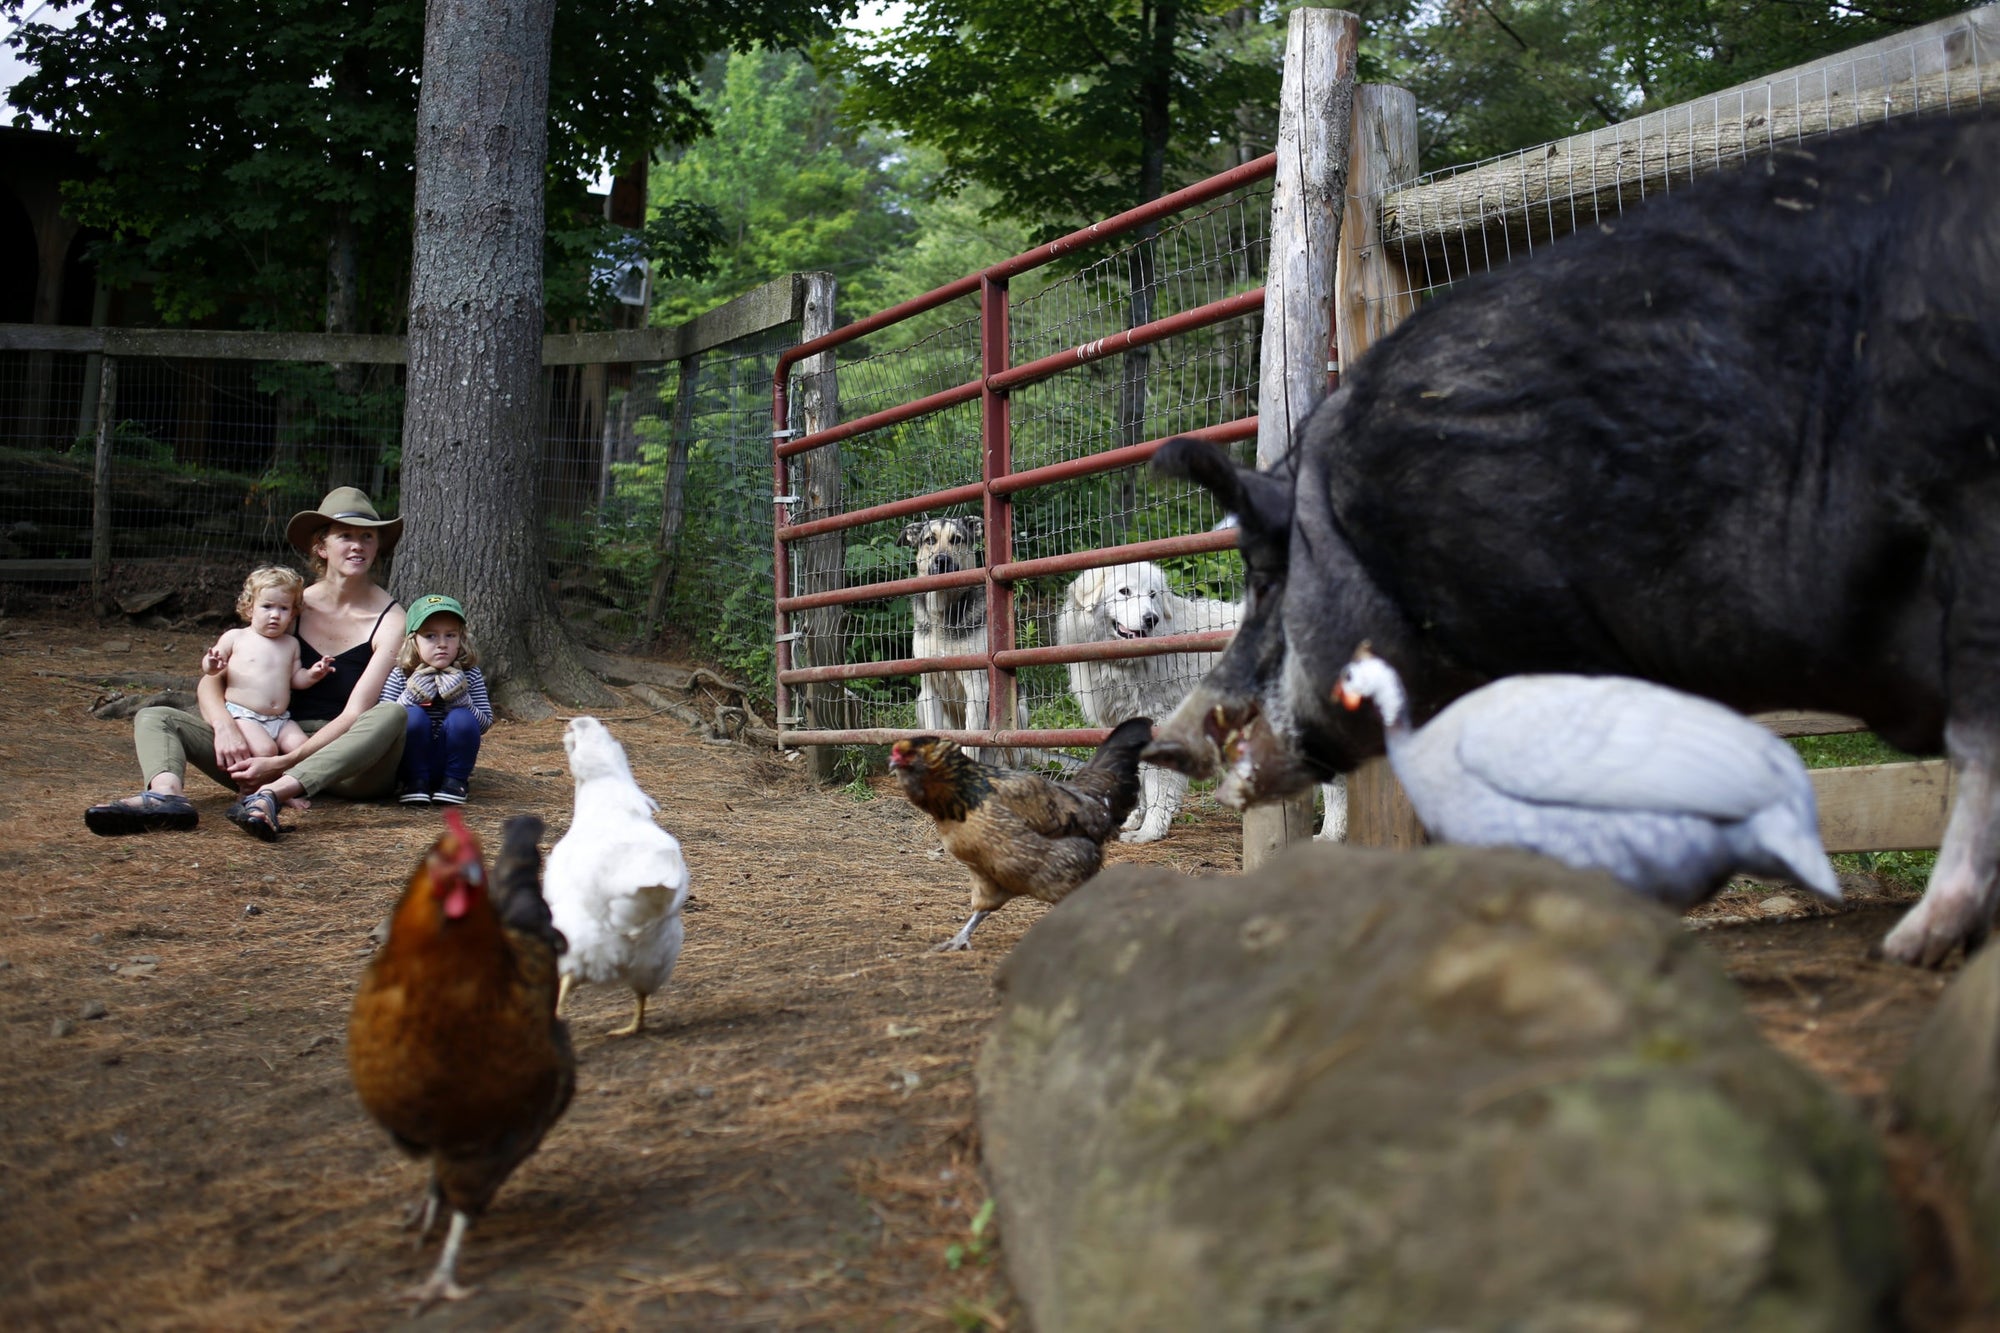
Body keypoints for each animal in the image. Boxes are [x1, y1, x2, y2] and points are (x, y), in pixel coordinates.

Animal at [1064, 560, 1344, 840]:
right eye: (1124, 591)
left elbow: (1156, 785)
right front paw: (1134, 820)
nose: (1151, 619)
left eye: (1152, 595)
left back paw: (1330, 834)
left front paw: (1149, 831)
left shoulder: (1161, 722)